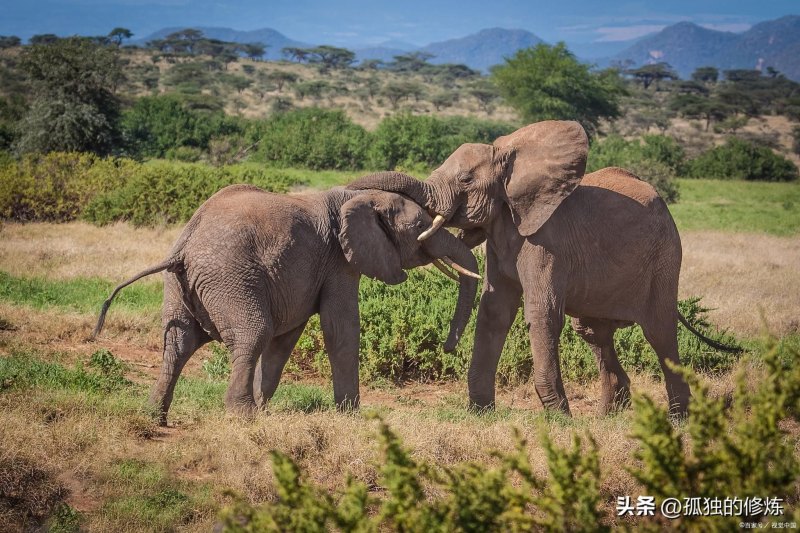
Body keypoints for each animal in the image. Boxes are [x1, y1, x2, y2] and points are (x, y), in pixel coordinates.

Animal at [90, 175, 478, 424]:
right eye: (421, 228)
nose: (448, 347)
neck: (358, 198)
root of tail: (184, 246)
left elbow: (287, 338)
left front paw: (267, 406)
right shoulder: (339, 260)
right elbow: (340, 328)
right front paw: (351, 417)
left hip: (179, 285)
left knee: (178, 342)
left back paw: (155, 417)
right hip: (230, 278)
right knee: (252, 333)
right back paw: (243, 417)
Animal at [346, 119, 736, 416]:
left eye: (466, 180)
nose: (446, 348)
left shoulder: (546, 243)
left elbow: (542, 313)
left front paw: (560, 418)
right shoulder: (503, 233)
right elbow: (494, 311)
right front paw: (481, 413)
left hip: (666, 256)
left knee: (659, 332)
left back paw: (677, 419)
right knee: (593, 332)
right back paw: (609, 416)